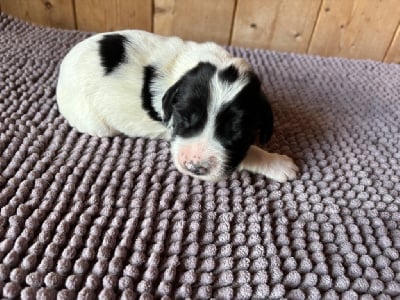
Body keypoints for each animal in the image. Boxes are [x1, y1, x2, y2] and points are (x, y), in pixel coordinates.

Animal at [57, 30, 298, 182]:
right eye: (184, 117)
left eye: (237, 131)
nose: (194, 168)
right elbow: (249, 153)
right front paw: (279, 163)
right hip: (93, 121)